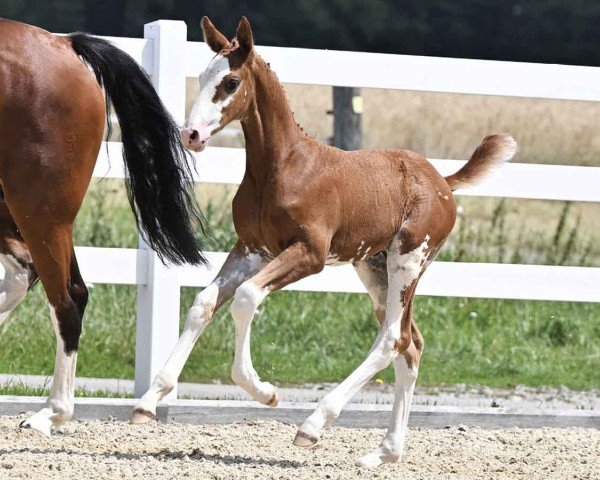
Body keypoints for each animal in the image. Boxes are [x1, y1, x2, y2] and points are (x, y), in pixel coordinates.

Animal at [134, 17, 516, 468]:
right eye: (201, 77)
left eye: (230, 82)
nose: (191, 134)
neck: (282, 169)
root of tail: (442, 181)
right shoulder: (251, 248)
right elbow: (203, 304)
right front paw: (149, 400)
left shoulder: (309, 254)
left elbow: (246, 299)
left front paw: (265, 391)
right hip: (373, 267)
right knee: (412, 344)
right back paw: (383, 453)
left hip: (408, 259)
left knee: (393, 339)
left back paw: (314, 425)